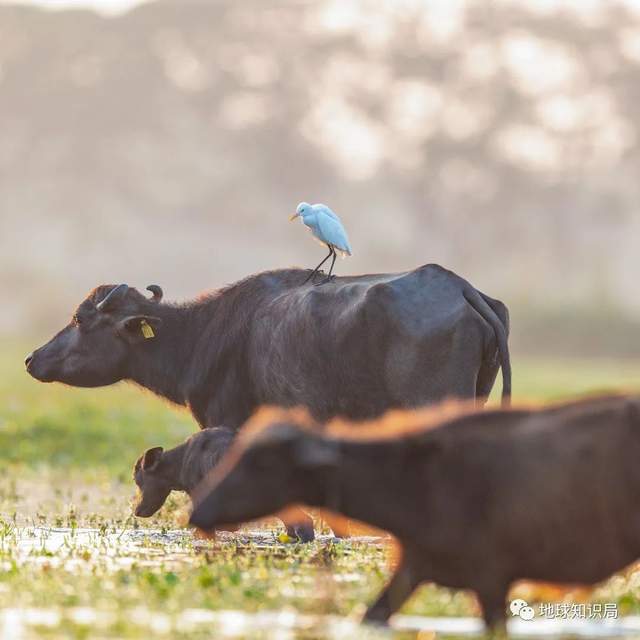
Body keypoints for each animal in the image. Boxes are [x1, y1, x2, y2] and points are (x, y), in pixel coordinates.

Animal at [190, 398, 640, 632]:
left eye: (261, 461)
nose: (200, 511)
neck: (416, 481)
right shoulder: (413, 568)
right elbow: (372, 616)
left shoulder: (491, 579)